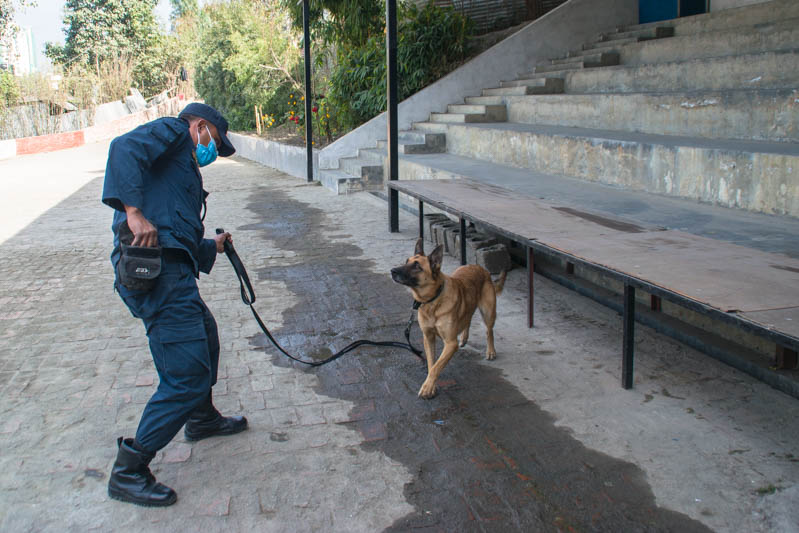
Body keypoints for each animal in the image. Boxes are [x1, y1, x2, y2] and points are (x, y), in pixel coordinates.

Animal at [392, 239, 506, 396]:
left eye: (416, 266)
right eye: (406, 261)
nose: (392, 271)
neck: (433, 300)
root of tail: (480, 267)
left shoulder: (451, 344)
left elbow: (436, 367)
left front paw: (427, 387)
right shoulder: (428, 337)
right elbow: (431, 363)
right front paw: (431, 385)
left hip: (488, 312)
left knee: (489, 331)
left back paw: (490, 351)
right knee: (468, 318)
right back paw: (464, 337)